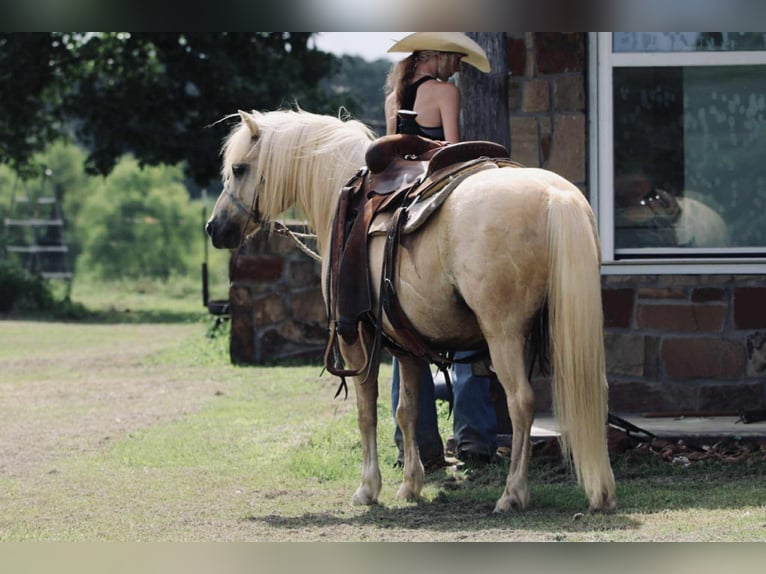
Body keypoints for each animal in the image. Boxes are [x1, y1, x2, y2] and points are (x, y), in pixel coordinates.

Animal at [205, 108, 616, 513]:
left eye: (239, 168)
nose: (214, 228)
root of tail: (555, 196)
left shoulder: (356, 336)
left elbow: (366, 410)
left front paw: (368, 488)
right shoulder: (406, 346)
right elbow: (407, 411)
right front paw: (410, 485)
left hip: (504, 334)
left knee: (521, 403)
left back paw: (512, 493)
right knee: (593, 393)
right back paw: (601, 490)